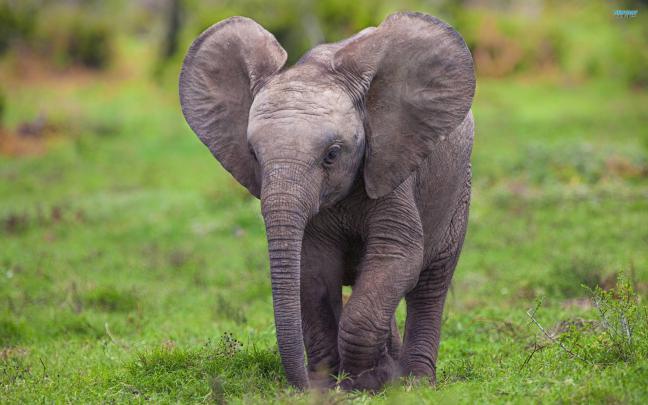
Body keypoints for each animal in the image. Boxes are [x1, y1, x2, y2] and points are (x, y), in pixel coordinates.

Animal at [179, 12, 475, 391]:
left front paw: (365, 382)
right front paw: (333, 384)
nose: (304, 383)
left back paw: (417, 382)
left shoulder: (391, 169)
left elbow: (397, 256)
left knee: (430, 283)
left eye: (332, 154)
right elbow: (314, 270)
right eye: (254, 155)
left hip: (458, 188)